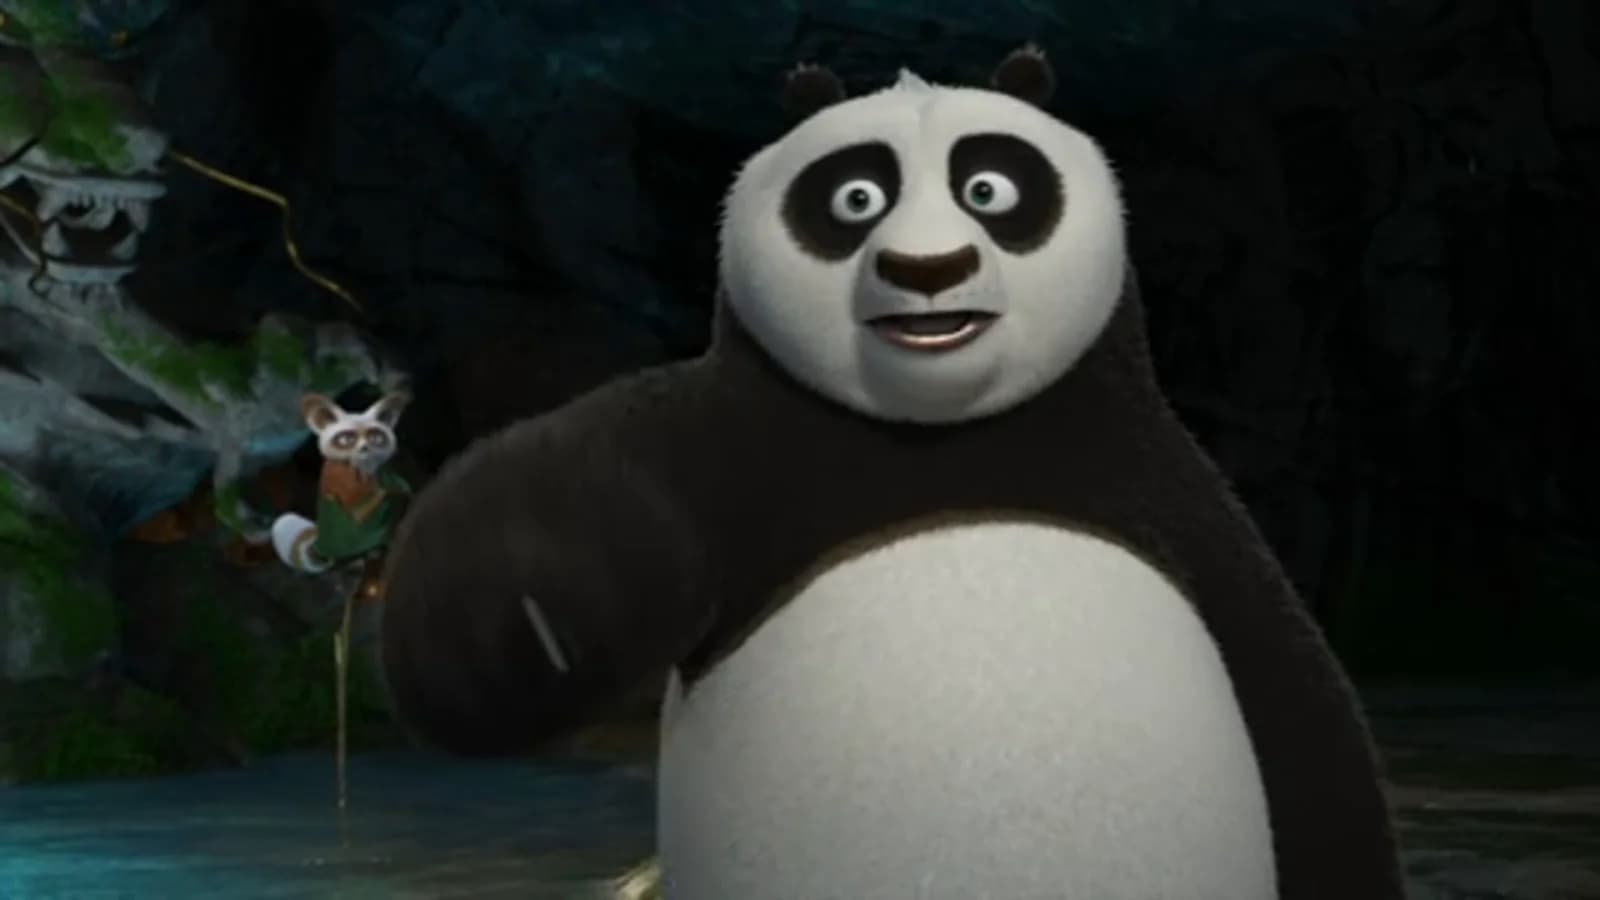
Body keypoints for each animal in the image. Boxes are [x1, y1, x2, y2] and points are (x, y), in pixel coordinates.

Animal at [378, 46, 1405, 900]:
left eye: (990, 187)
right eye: (855, 199)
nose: (929, 269)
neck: (946, 442)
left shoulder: (1182, 513)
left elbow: (1316, 743)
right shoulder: (737, 448)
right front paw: (518, 636)